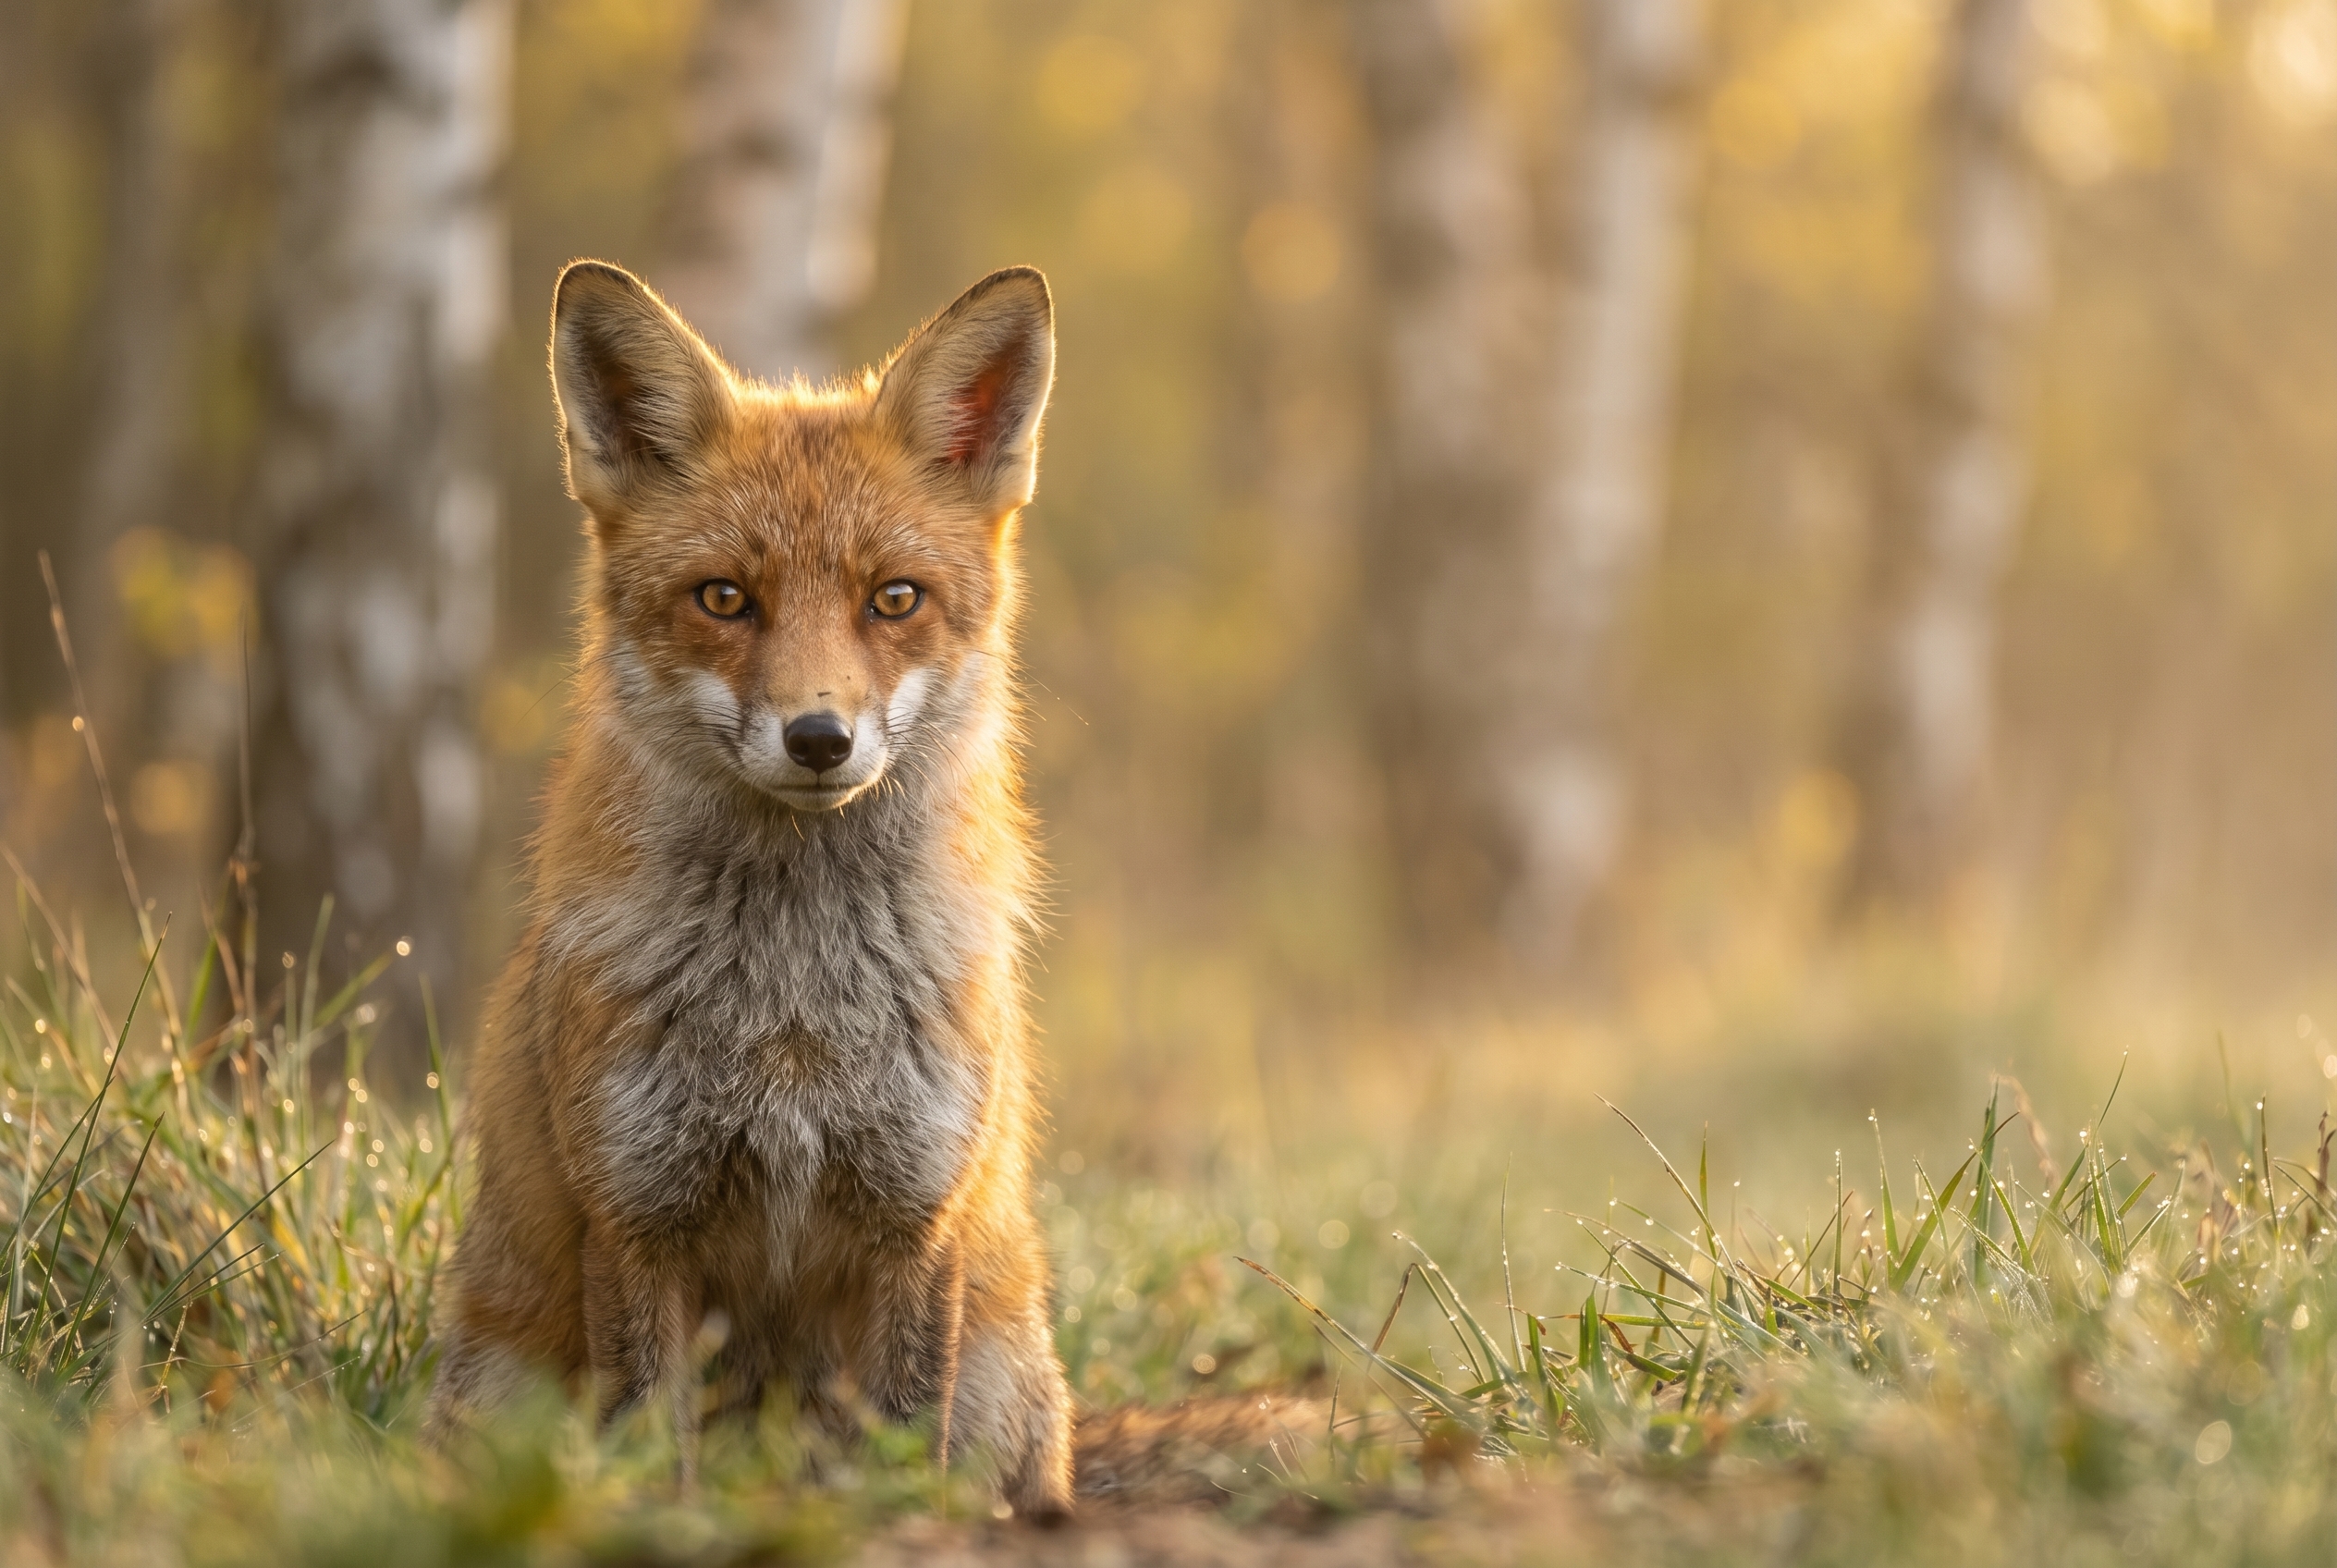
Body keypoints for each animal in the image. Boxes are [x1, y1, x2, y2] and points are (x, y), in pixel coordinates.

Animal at [425, 260, 1306, 1517]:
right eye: (723, 599)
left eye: (893, 599)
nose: (817, 737)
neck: (794, 1006)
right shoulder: (636, 1217)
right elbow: (651, 1448)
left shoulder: (913, 1214)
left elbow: (901, 1441)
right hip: (505, 1384)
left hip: (1002, 1374)